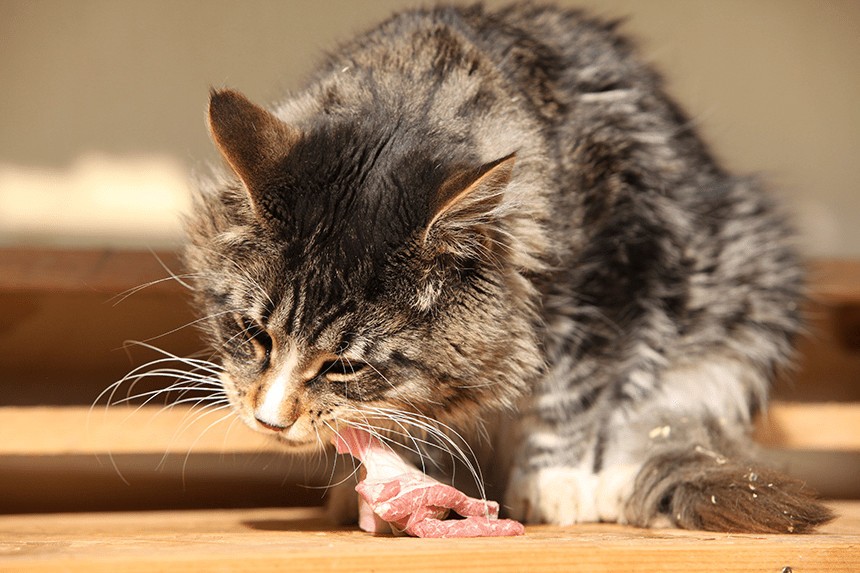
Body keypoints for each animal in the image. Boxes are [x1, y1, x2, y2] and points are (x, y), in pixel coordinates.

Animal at [181, 3, 832, 532]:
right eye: (254, 333)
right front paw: (404, 492)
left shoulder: (617, 275)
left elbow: (573, 395)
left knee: (656, 425)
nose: (269, 421)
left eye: (343, 366)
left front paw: (553, 486)